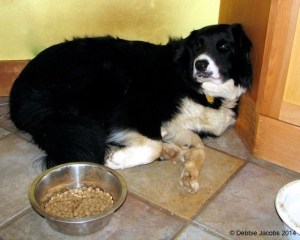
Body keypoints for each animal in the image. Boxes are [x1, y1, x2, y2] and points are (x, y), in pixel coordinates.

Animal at [9, 23, 252, 182]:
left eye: (223, 46)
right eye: (197, 47)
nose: (200, 65)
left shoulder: (183, 125)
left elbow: (198, 146)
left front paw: (189, 168)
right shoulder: (135, 105)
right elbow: (152, 145)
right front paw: (117, 160)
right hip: (109, 75)